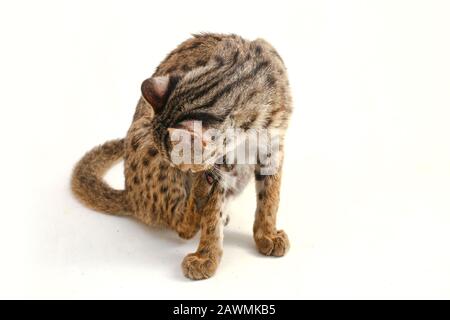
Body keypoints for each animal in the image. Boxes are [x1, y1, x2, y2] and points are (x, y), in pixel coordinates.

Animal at [71, 31, 292, 278]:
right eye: (178, 163)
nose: (185, 170)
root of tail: (130, 195)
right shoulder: (223, 165)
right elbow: (213, 214)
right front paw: (206, 256)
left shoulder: (273, 148)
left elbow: (270, 198)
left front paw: (267, 234)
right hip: (144, 138)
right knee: (181, 224)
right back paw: (199, 193)